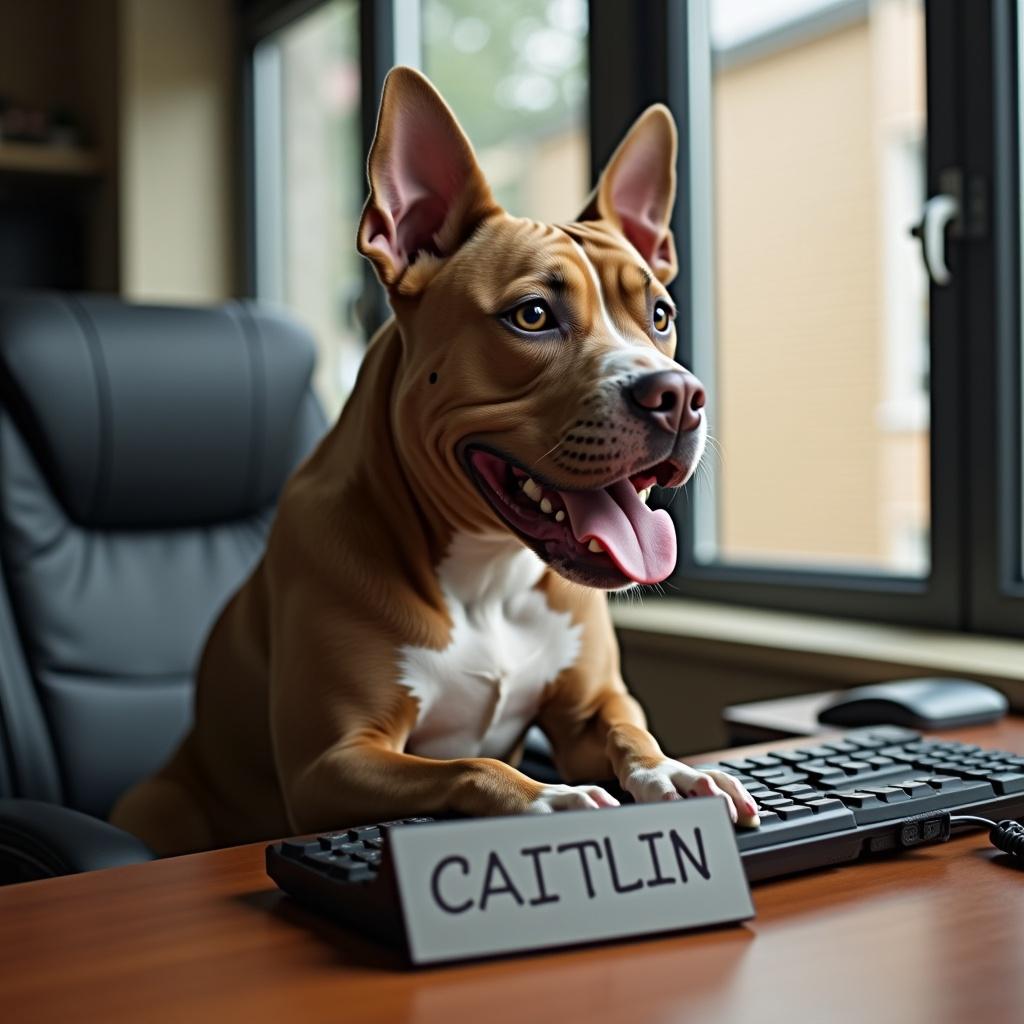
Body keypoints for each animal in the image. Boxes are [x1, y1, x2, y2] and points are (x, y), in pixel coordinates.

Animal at [112, 68, 761, 856]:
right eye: (532, 316)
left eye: (660, 315)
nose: (678, 396)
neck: (486, 575)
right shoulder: (332, 762)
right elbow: (470, 766)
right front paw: (550, 798)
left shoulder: (591, 708)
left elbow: (630, 735)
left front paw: (679, 773)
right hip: (161, 804)